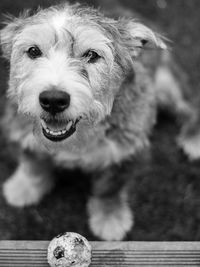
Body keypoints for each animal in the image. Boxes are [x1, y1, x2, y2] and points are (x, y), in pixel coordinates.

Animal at [0, 1, 197, 241]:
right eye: (33, 51)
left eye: (92, 55)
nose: (53, 100)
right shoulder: (21, 131)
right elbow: (32, 163)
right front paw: (25, 187)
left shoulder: (125, 152)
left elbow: (109, 190)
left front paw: (110, 218)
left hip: (166, 87)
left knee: (191, 106)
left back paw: (194, 139)